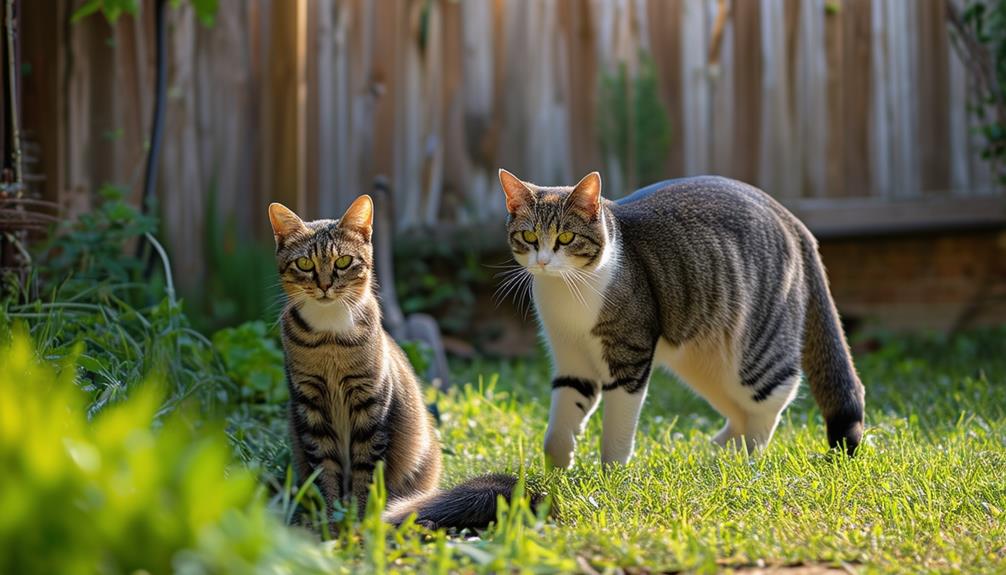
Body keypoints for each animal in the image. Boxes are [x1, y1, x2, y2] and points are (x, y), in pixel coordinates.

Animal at [267, 195, 535, 526]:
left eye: (343, 261)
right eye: (305, 263)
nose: (326, 285)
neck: (330, 339)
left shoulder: (371, 405)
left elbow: (366, 472)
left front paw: (359, 517)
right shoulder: (310, 405)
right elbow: (325, 470)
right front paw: (331, 519)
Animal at [498, 169, 869, 466]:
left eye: (566, 237)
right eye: (529, 237)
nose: (543, 262)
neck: (566, 291)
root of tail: (790, 217)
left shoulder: (630, 354)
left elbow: (618, 424)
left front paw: (610, 476)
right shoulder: (570, 356)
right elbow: (560, 424)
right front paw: (559, 469)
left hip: (756, 351)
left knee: (775, 395)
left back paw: (746, 457)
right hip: (704, 359)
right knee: (739, 408)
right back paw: (719, 451)